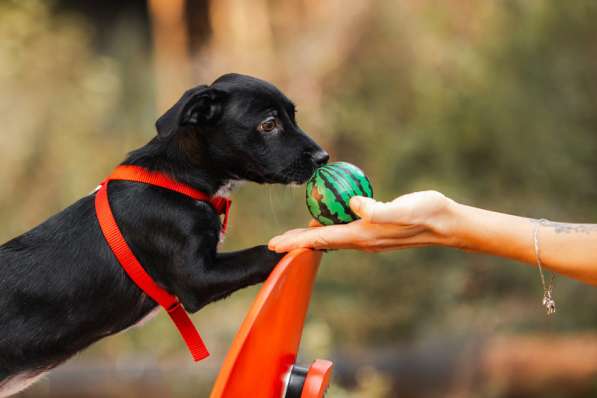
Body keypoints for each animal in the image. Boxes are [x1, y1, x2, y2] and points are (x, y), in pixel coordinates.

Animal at [0, 73, 326, 396]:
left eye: (293, 116)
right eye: (268, 125)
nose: (323, 157)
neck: (178, 180)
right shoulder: (197, 278)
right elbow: (261, 253)